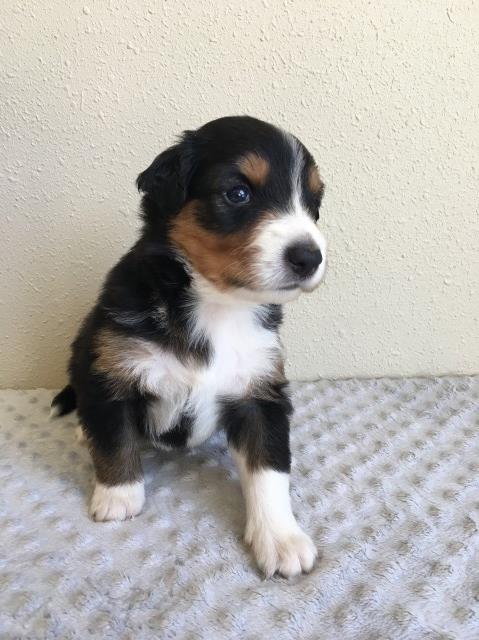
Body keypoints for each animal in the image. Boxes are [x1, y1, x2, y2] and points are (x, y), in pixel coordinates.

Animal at [53, 116, 330, 580]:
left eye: (313, 202)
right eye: (237, 193)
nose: (309, 256)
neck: (216, 307)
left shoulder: (261, 391)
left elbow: (270, 468)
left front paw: (281, 539)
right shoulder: (110, 368)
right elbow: (113, 437)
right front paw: (118, 498)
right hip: (84, 348)